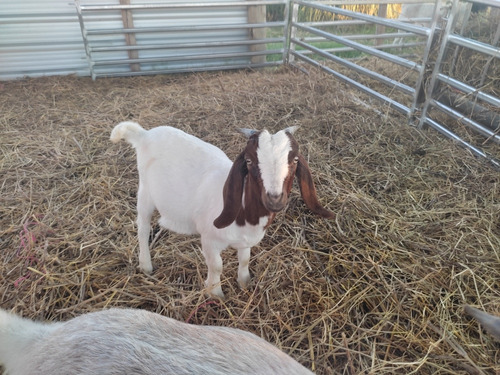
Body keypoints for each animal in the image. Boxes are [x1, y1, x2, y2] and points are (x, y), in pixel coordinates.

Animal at [111, 123, 334, 300]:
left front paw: (244, 282)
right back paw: (146, 265)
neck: (245, 214)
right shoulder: (210, 240)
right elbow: (216, 265)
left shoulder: (246, 240)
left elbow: (244, 259)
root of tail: (144, 134)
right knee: (142, 227)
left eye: (295, 160)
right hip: (145, 192)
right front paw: (215, 294)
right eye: (249, 161)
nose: (274, 198)